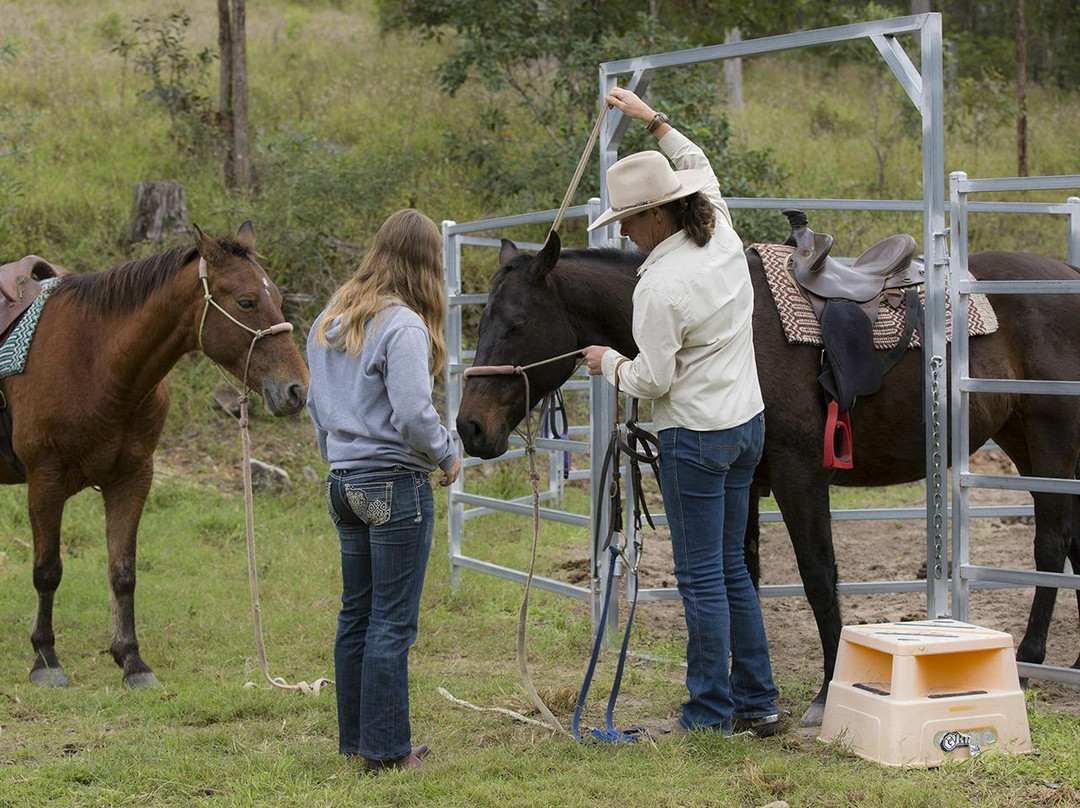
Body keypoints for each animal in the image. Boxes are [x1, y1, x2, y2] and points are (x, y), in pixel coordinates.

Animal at [0, 222, 309, 688]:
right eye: (247, 301)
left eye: (277, 298)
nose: (296, 389)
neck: (95, 363)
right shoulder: (45, 481)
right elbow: (47, 570)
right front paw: (46, 659)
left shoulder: (133, 478)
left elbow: (123, 572)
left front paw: (131, 660)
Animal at [455, 231, 1080, 726]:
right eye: (481, 322)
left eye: (517, 323)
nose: (469, 427)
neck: (727, 328)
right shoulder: (746, 482)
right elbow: (744, 577)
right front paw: (740, 695)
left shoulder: (799, 476)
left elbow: (818, 575)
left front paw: (828, 689)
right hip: (1028, 444)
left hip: (1051, 444)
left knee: (1050, 547)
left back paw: (1030, 657)